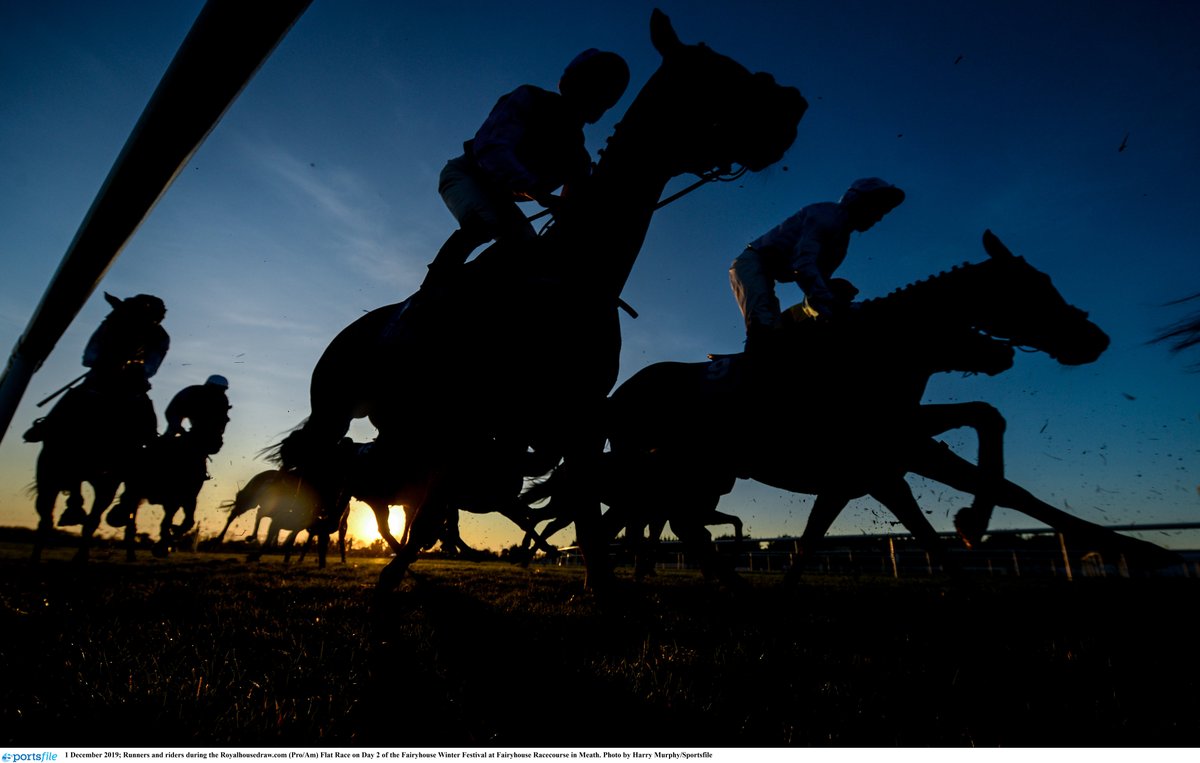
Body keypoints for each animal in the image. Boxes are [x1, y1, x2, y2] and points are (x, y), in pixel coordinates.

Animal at [277, 10, 806, 590]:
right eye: (716, 73)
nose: (794, 102)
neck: (571, 275)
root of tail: (351, 331)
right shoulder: (474, 424)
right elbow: (438, 513)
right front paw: (394, 577)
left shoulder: (577, 422)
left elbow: (588, 518)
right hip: (333, 409)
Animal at [600, 229, 1171, 580]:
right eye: (1032, 286)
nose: (1093, 338)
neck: (877, 352)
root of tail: (617, 395)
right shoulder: (886, 457)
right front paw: (973, 522)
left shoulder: (891, 453)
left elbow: (989, 447)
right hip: (653, 472)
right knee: (649, 522)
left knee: (665, 522)